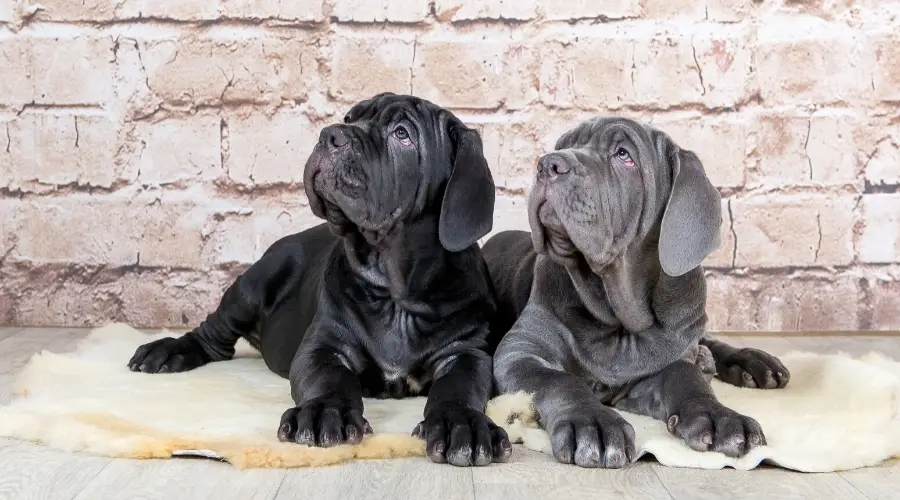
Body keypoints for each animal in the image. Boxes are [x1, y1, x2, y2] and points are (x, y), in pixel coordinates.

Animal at [125, 92, 512, 466]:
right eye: (350, 117)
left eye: (402, 134)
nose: (331, 135)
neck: (395, 292)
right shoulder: (324, 345)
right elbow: (329, 379)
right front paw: (325, 412)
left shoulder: (465, 352)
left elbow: (458, 389)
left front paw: (461, 424)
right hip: (252, 285)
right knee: (213, 335)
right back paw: (168, 351)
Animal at [486, 117, 788, 468]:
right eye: (563, 145)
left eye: (624, 155)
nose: (549, 163)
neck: (618, 316)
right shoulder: (520, 351)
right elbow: (560, 381)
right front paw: (592, 422)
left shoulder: (664, 362)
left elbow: (685, 376)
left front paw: (720, 416)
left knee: (704, 341)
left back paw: (749, 361)